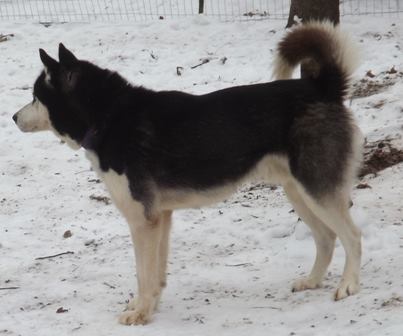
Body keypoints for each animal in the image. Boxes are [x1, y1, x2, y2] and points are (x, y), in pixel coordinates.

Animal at [14, 21, 364, 326]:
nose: (14, 117)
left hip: (316, 191)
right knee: (327, 238)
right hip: (298, 191)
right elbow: (155, 275)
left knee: (352, 236)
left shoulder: (143, 220)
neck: (108, 116)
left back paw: (348, 285)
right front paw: (149, 306)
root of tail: (322, 87)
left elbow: (143, 273)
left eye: (35, 96)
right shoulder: (161, 217)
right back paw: (312, 280)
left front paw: (140, 314)